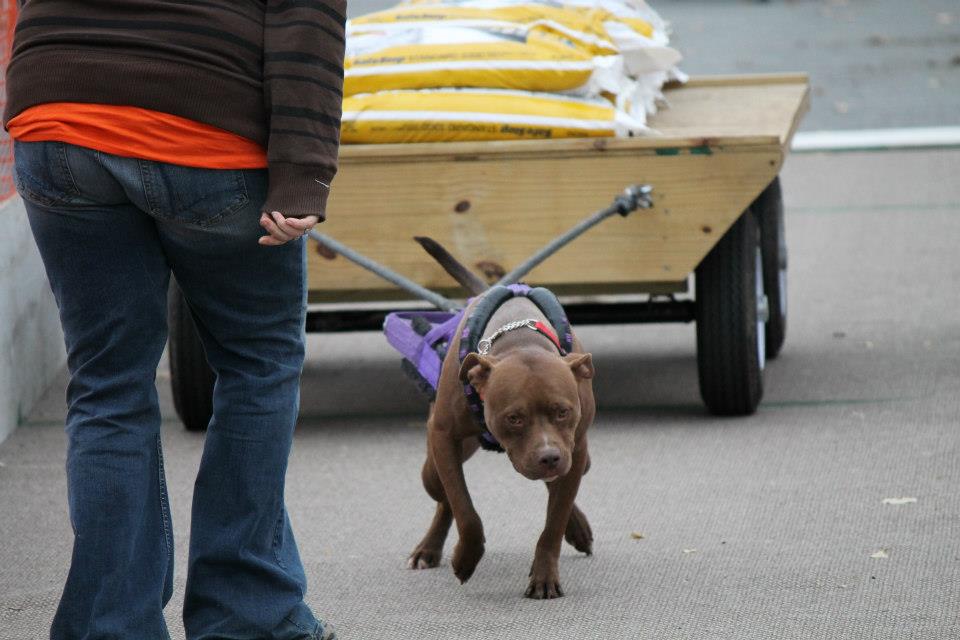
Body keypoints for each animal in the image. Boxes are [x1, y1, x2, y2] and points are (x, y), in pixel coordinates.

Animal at [404, 238, 592, 596]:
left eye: (563, 411)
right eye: (514, 418)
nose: (549, 456)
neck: (520, 340)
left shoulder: (575, 449)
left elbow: (554, 520)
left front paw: (544, 574)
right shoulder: (443, 436)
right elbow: (464, 508)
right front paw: (466, 557)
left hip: (576, 459)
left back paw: (577, 527)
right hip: (431, 469)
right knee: (444, 496)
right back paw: (429, 548)